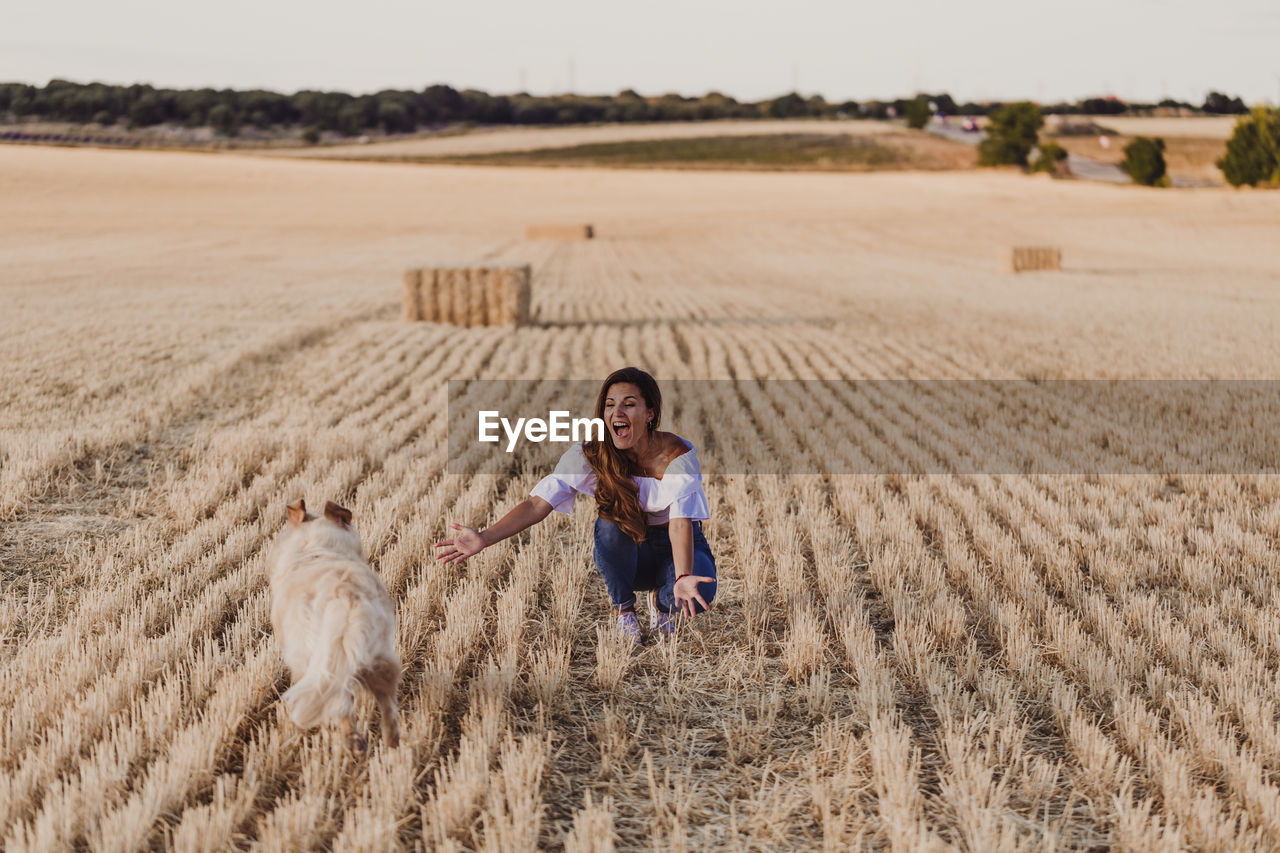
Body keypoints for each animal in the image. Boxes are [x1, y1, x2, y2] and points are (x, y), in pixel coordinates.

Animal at [263, 494, 394, 747]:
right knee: (387, 708)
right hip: (380, 656)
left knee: (338, 704)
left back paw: (352, 742)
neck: (314, 550)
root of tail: (344, 595)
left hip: (318, 660)